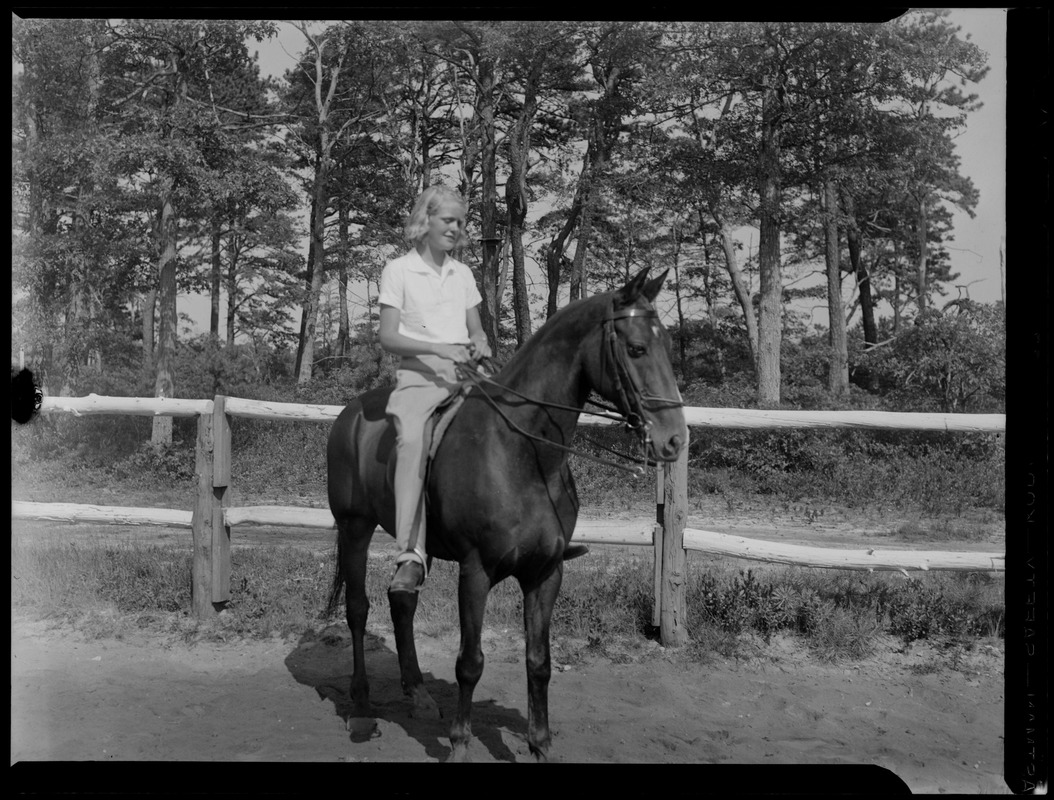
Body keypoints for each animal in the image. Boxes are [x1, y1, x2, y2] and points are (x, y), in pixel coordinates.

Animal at [324, 268, 687, 763]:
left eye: (666, 343)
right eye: (635, 348)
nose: (675, 440)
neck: (524, 453)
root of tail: (350, 415)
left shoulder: (545, 573)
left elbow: (539, 661)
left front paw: (539, 744)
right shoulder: (476, 572)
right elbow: (470, 662)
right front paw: (460, 744)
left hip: (416, 544)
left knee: (402, 601)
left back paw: (418, 695)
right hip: (354, 528)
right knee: (358, 610)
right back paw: (361, 712)